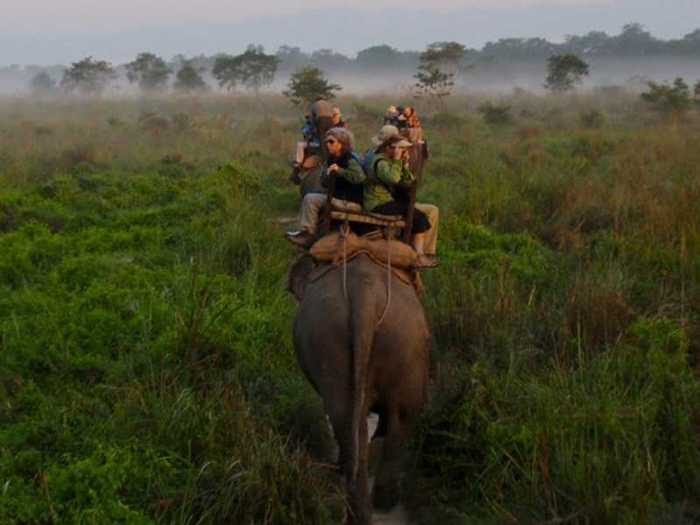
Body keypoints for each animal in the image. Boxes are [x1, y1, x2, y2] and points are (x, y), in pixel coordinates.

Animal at [288, 252, 430, 520]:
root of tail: (365, 292)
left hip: (333, 338)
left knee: (355, 420)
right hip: (400, 343)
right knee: (400, 417)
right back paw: (378, 504)